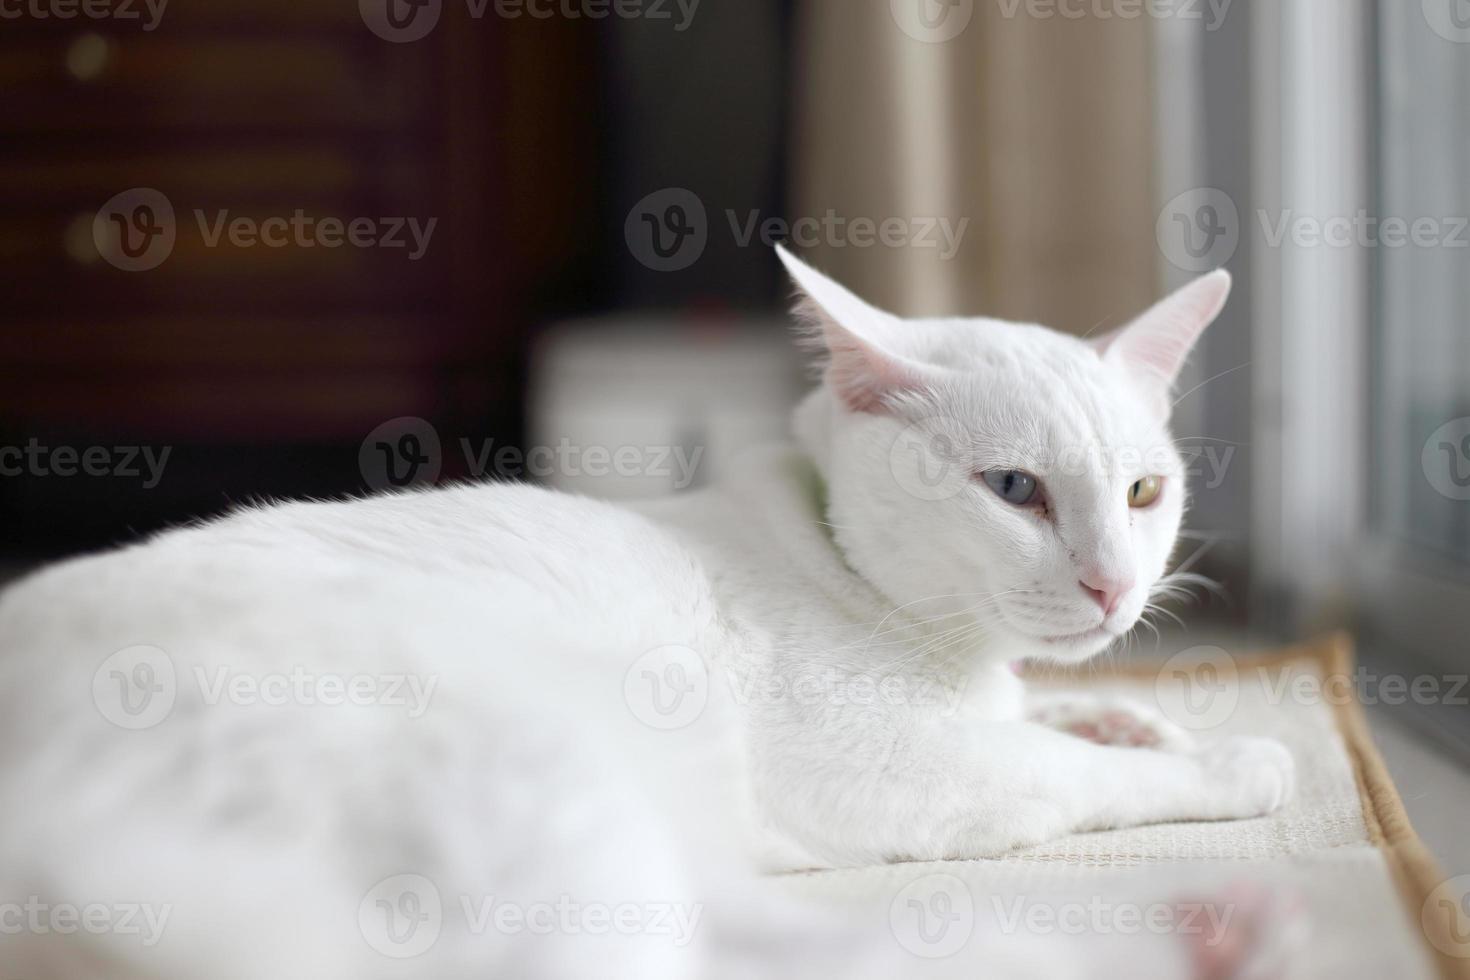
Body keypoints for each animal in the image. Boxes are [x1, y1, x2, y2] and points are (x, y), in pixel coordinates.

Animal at [0, 246, 1287, 980]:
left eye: (1143, 492)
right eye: (1015, 488)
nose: (1115, 583)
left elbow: (1061, 713)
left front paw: (1133, 713)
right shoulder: (900, 770)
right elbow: (1075, 772)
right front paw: (1224, 758)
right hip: (532, 789)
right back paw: (1196, 932)